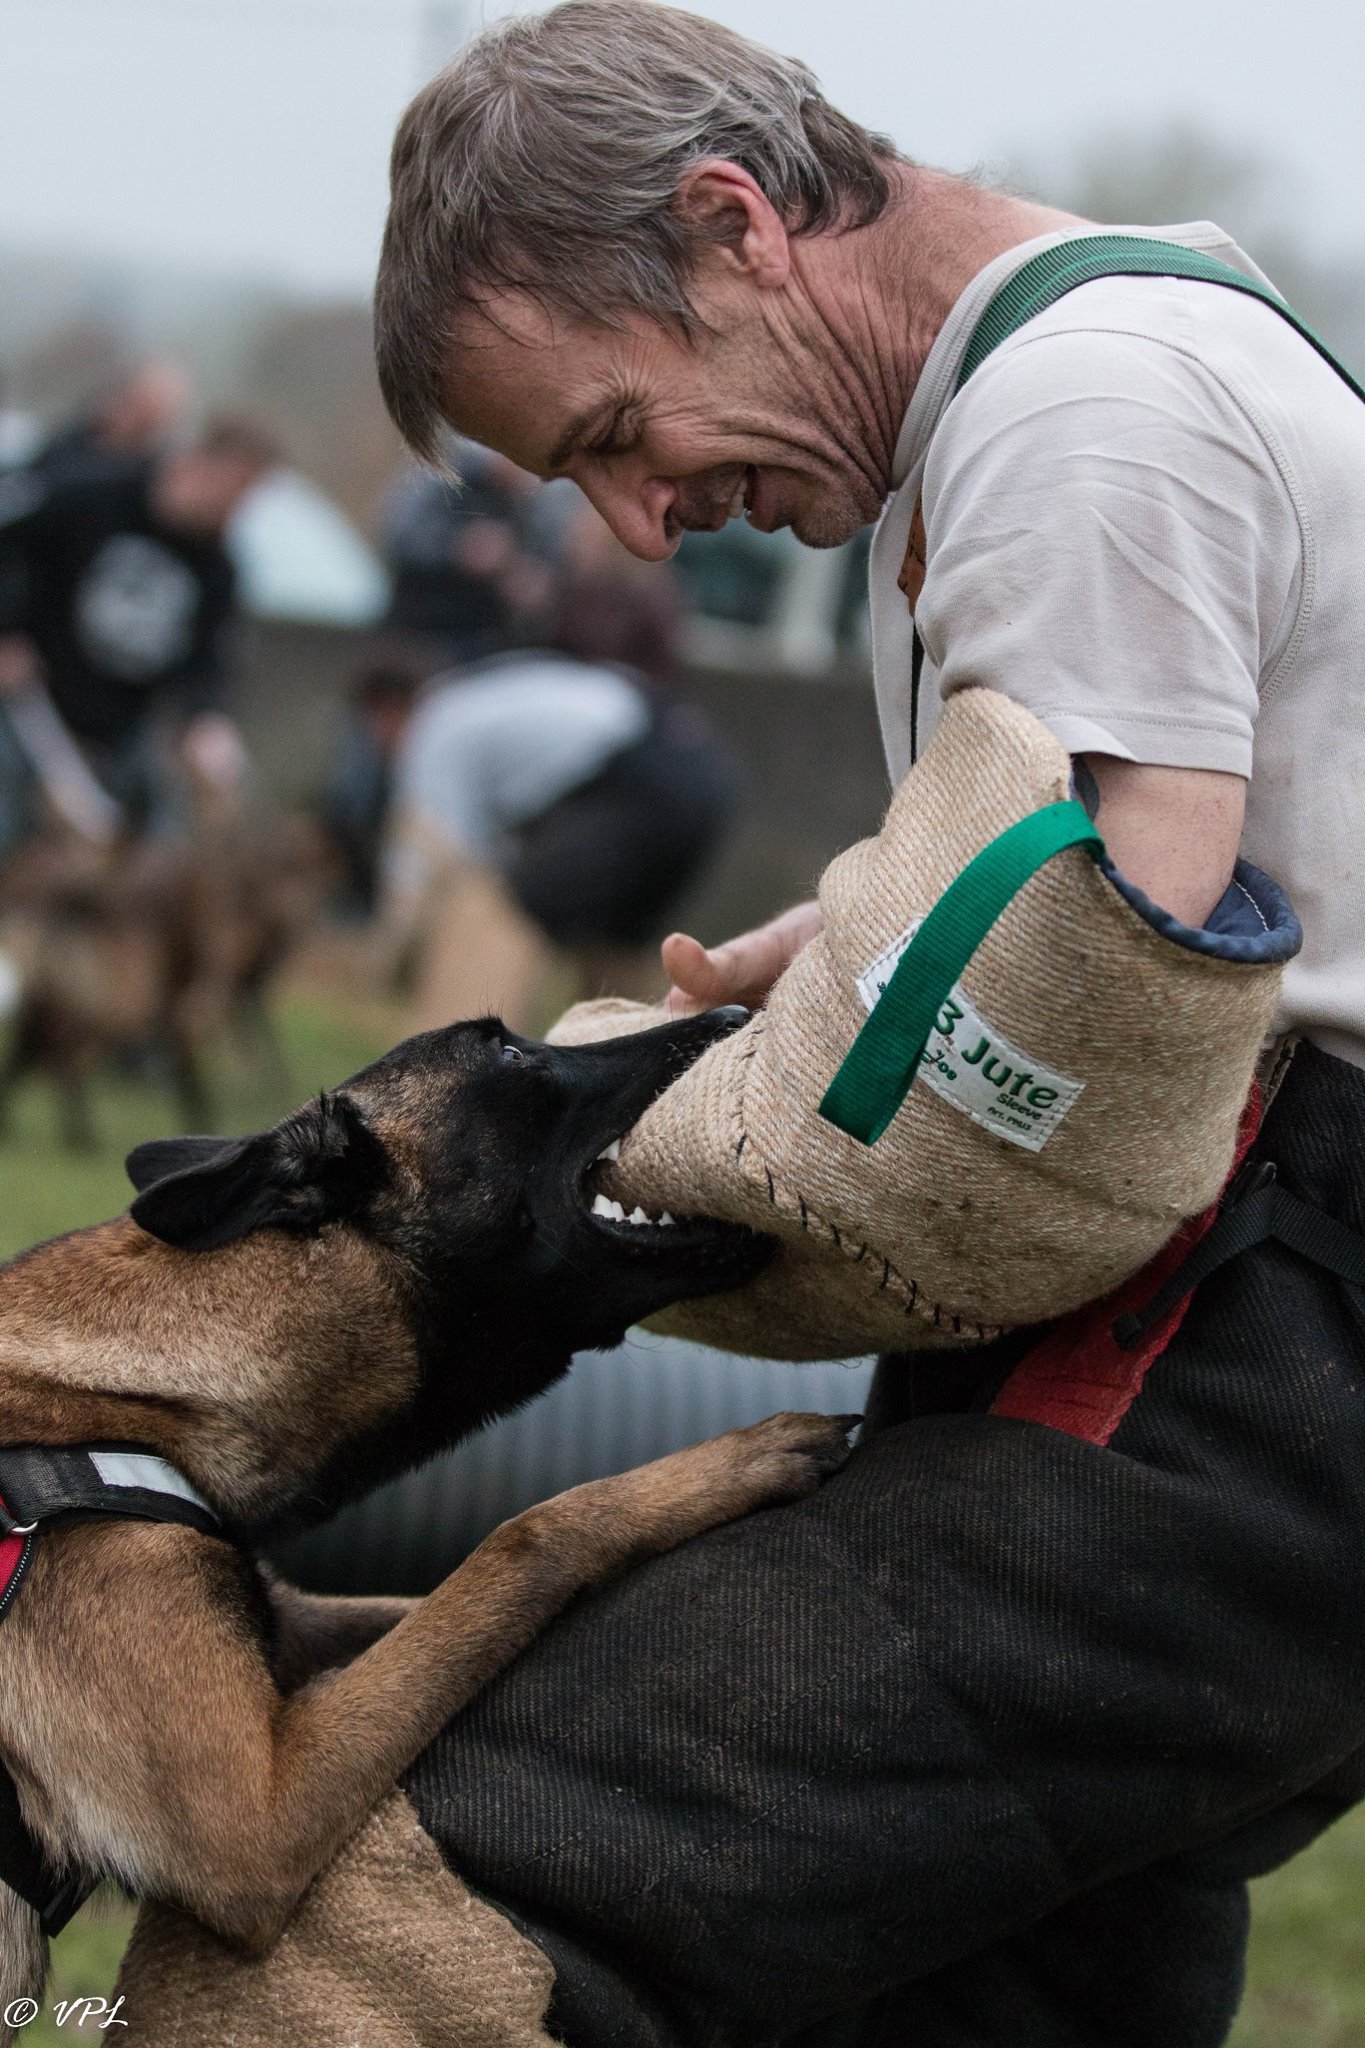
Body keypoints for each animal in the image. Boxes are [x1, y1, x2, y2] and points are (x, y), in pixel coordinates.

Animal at [0, 1006, 854, 2035]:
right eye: (510, 1052)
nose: (734, 1014)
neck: (131, 1390)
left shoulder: (290, 1631)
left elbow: (424, 1602)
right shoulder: (255, 1823)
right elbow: (524, 1536)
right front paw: (735, 1458)